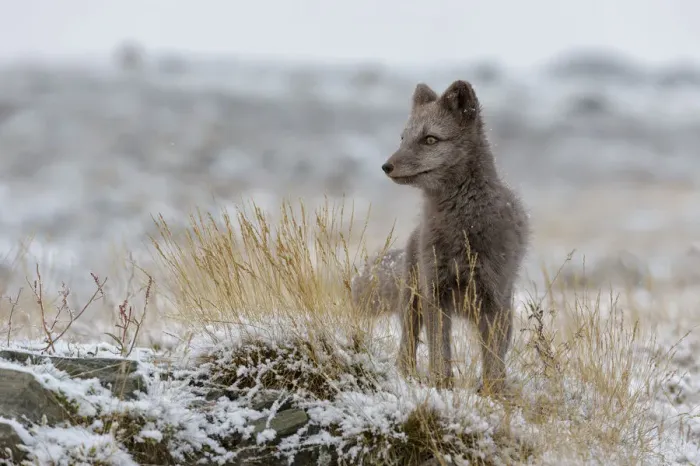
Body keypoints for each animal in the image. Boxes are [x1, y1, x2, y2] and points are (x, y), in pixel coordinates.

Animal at [381, 80, 530, 393]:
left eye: (430, 139)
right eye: (403, 138)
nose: (386, 166)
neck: (463, 227)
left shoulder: (493, 298)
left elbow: (493, 358)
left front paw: (494, 392)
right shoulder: (436, 292)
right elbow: (440, 350)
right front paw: (441, 385)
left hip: (503, 309)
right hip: (412, 302)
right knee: (407, 345)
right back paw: (405, 375)